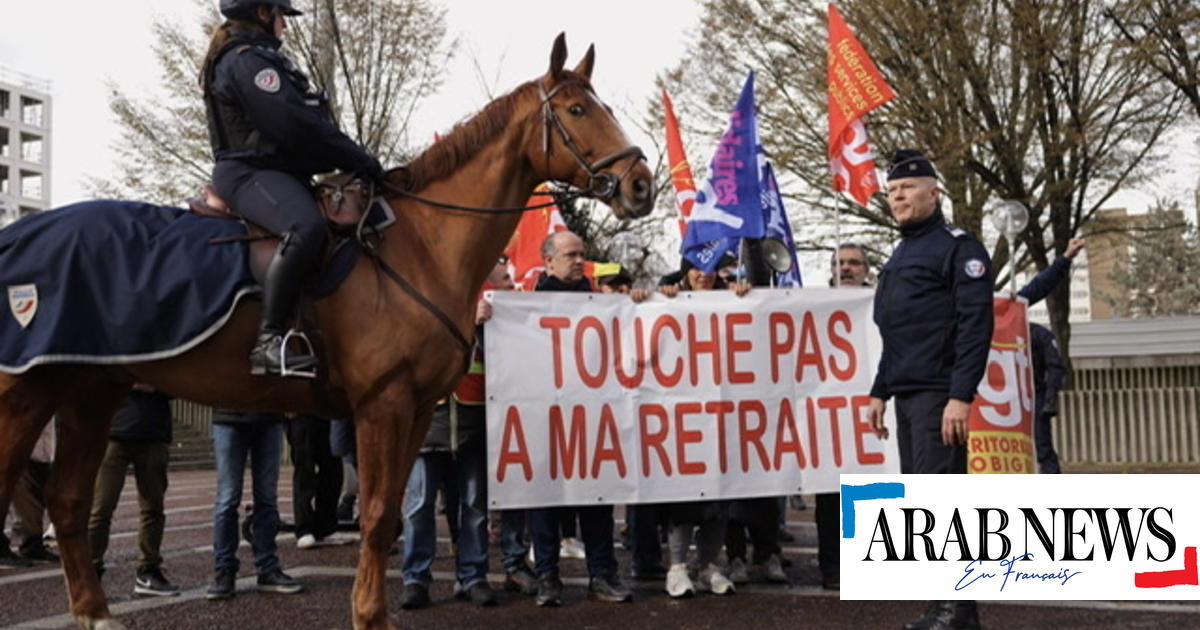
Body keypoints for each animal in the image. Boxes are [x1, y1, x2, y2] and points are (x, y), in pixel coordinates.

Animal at [0, 33, 652, 628]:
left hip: (89, 392)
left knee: (66, 500)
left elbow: (387, 513)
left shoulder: (415, 407)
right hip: (25, 395)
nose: (640, 184)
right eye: (576, 110)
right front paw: (368, 614)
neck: (418, 246)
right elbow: (376, 514)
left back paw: (95, 614)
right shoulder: (381, 404)